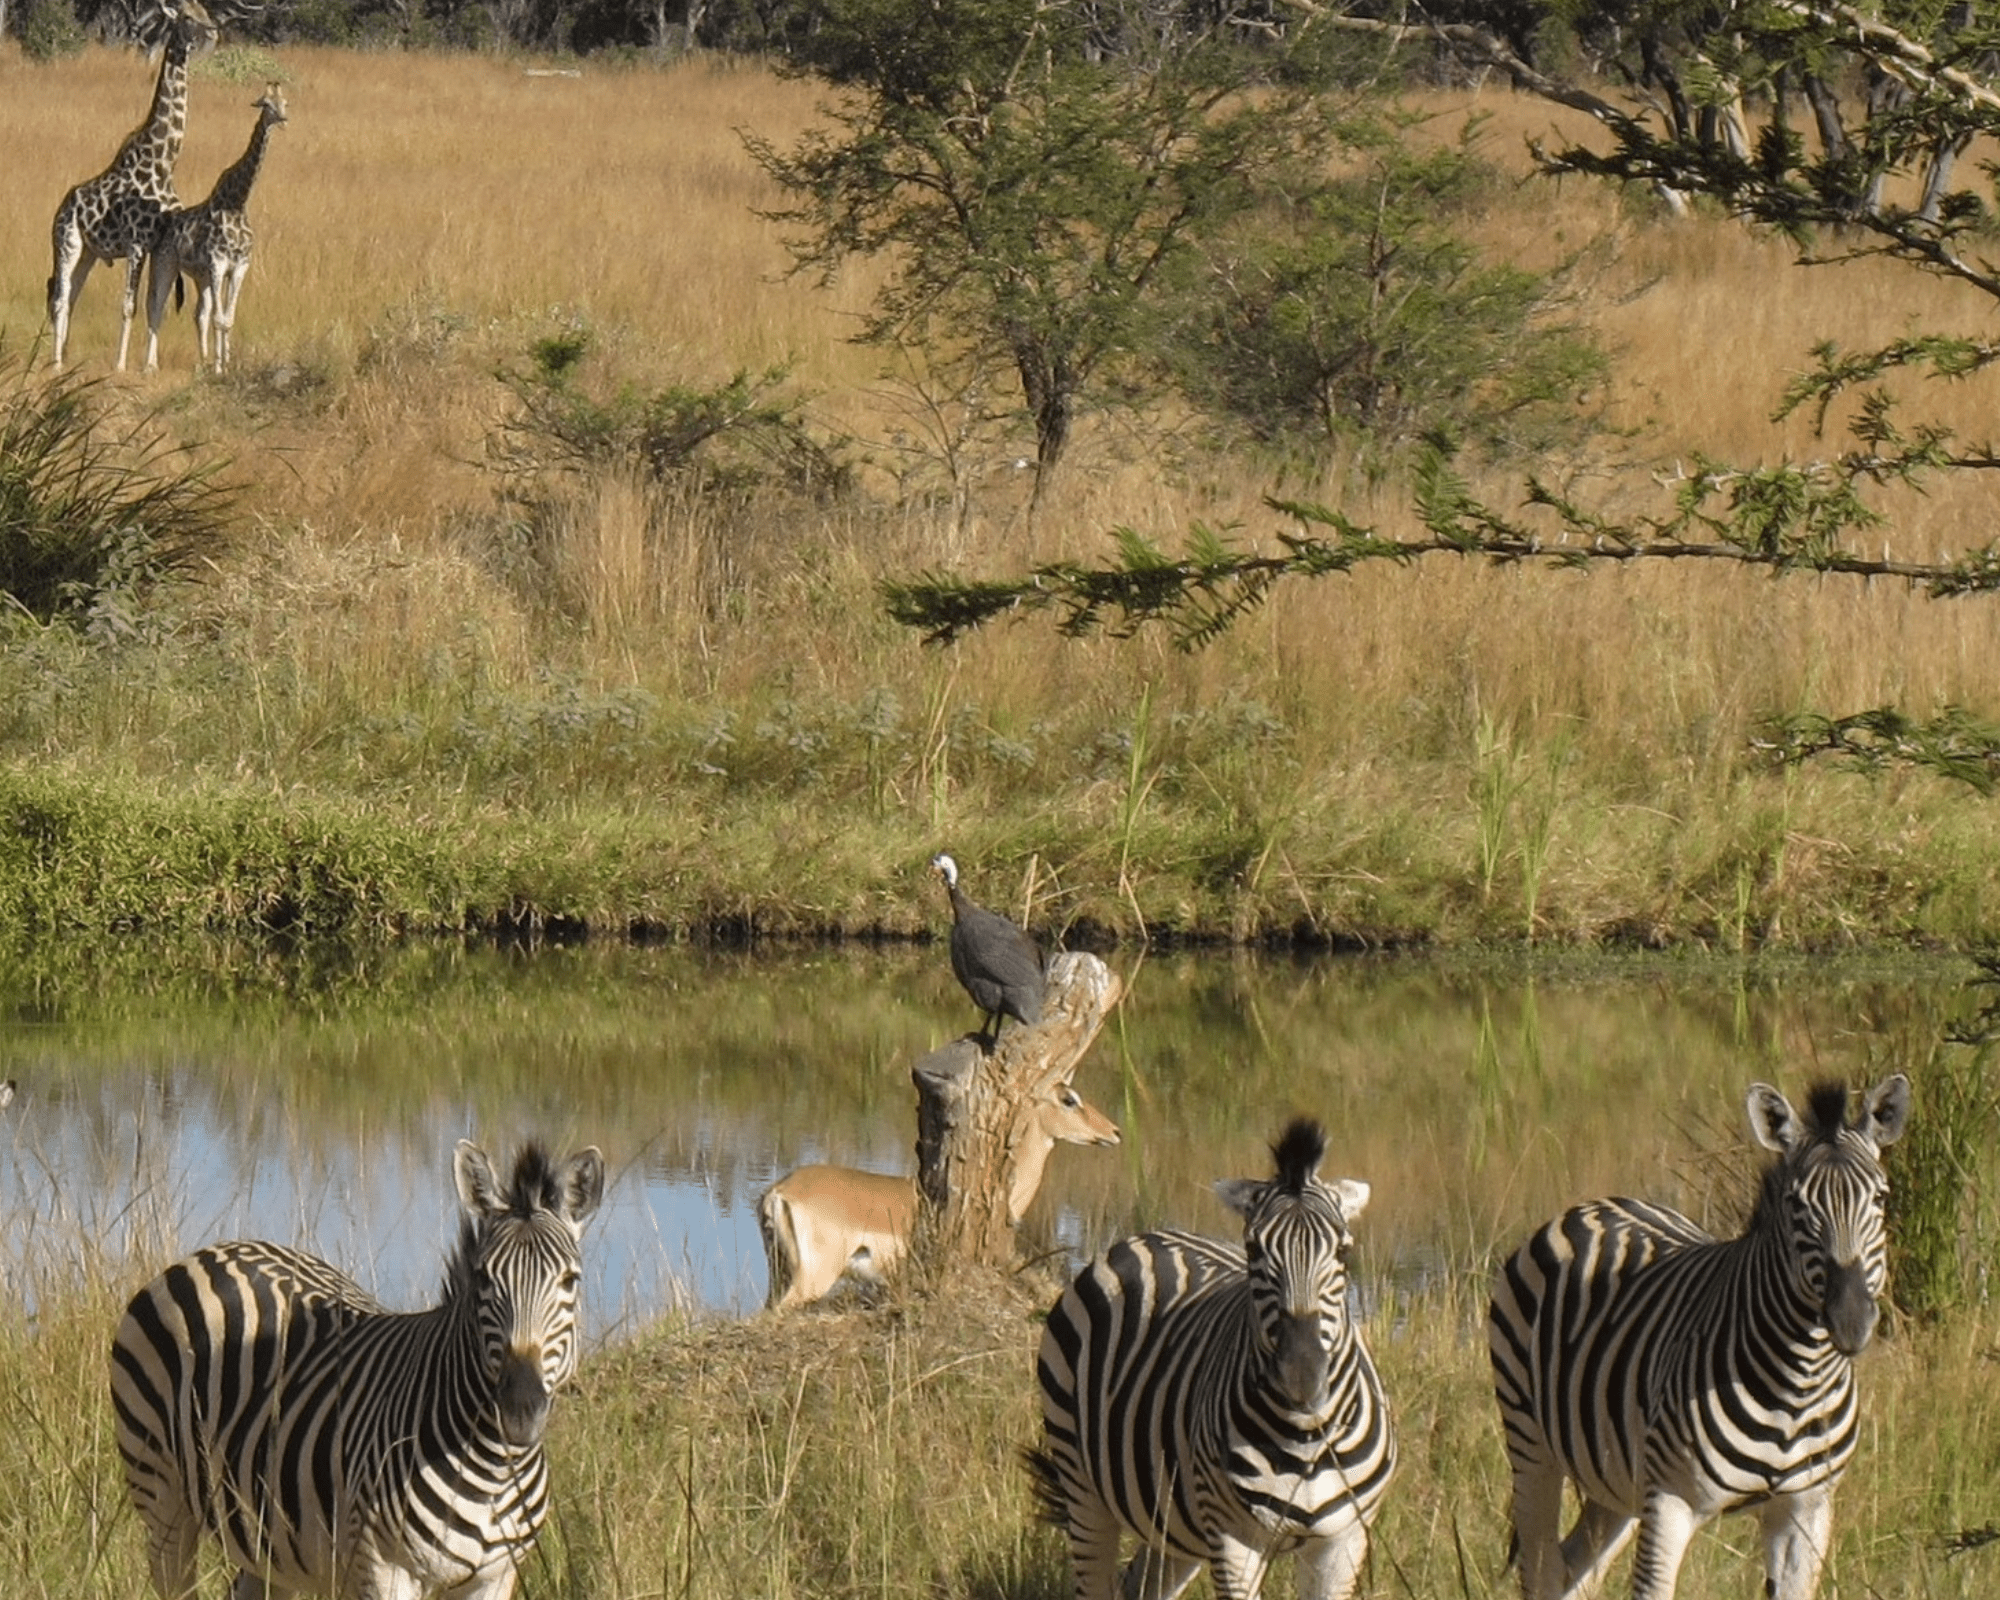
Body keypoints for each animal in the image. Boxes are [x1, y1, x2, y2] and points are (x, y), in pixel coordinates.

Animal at [46, 0, 219, 372]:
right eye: (187, 17)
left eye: (205, 11)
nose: (213, 31)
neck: (164, 161)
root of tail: (61, 207)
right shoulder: (138, 243)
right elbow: (129, 306)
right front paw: (120, 365)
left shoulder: (160, 244)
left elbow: (157, 304)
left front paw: (150, 366)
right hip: (66, 241)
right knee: (60, 297)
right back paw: (56, 363)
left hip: (89, 252)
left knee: (73, 296)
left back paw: (63, 356)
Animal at [109, 1136, 600, 1600]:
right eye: (483, 1279)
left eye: (570, 1281)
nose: (520, 1409)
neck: (493, 1468)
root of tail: (218, 1249)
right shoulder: (383, 1567)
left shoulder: (496, 1575)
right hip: (161, 1494)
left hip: (268, 1543)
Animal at [146, 83, 288, 374]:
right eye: (266, 104)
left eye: (285, 103)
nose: (282, 119)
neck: (237, 204)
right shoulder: (218, 263)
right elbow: (220, 319)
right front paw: (220, 368)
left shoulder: (239, 266)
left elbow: (226, 319)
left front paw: (224, 364)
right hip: (166, 264)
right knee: (157, 309)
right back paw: (151, 365)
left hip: (200, 276)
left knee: (200, 313)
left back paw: (202, 361)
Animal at [1032, 1120, 1392, 1592]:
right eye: (1254, 1250)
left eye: (1343, 1251)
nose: (1302, 1375)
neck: (1307, 1437)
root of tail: (1149, 1235)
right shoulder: (1235, 1539)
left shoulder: (1344, 1541)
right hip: (1082, 1484)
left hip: (1174, 1524)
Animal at [1496, 1072, 1912, 1600]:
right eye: (1795, 1205)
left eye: (1880, 1198)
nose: (1851, 1319)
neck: (1797, 1382)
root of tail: (1596, 1203)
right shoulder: (1670, 1499)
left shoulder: (1806, 1508)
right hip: (1530, 1443)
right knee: (1543, 1569)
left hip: (1616, 1479)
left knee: (1578, 1570)